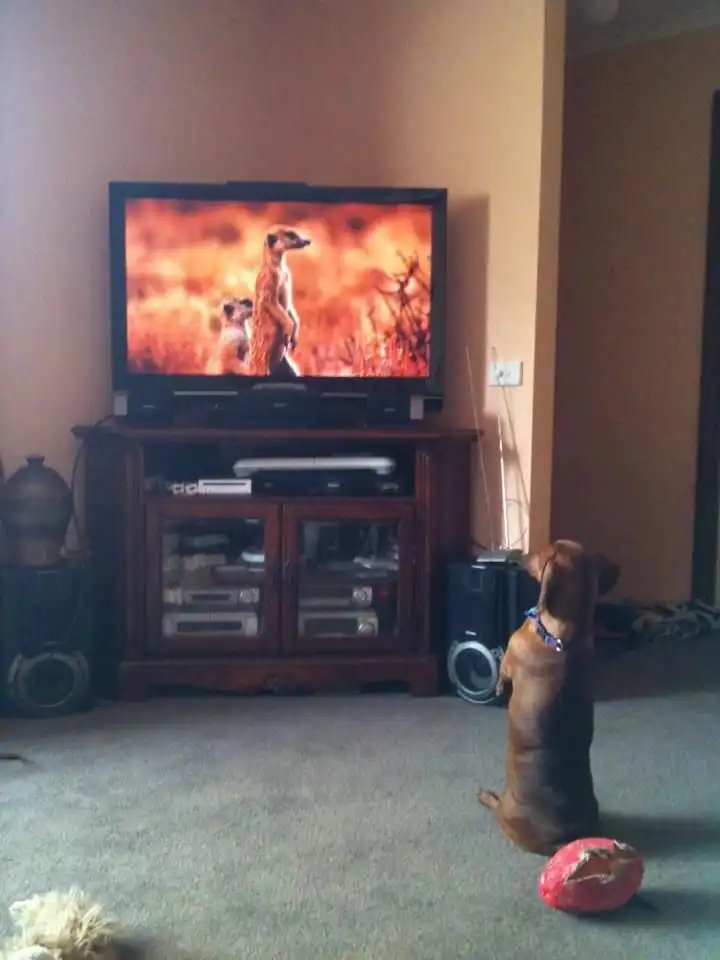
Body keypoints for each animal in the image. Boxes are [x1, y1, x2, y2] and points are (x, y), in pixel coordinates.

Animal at [247, 225, 311, 377]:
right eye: (291, 235)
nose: (308, 240)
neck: (278, 266)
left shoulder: (287, 276)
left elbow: (290, 307)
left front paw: (296, 330)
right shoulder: (270, 279)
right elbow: (268, 301)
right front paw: (289, 326)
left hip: (285, 364)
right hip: (262, 365)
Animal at [478, 539, 620, 856]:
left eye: (542, 552)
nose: (520, 553)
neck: (565, 636)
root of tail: (560, 839)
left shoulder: (509, 660)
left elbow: (501, 675)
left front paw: (497, 688)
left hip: (506, 813)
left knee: (497, 808)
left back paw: (487, 796)